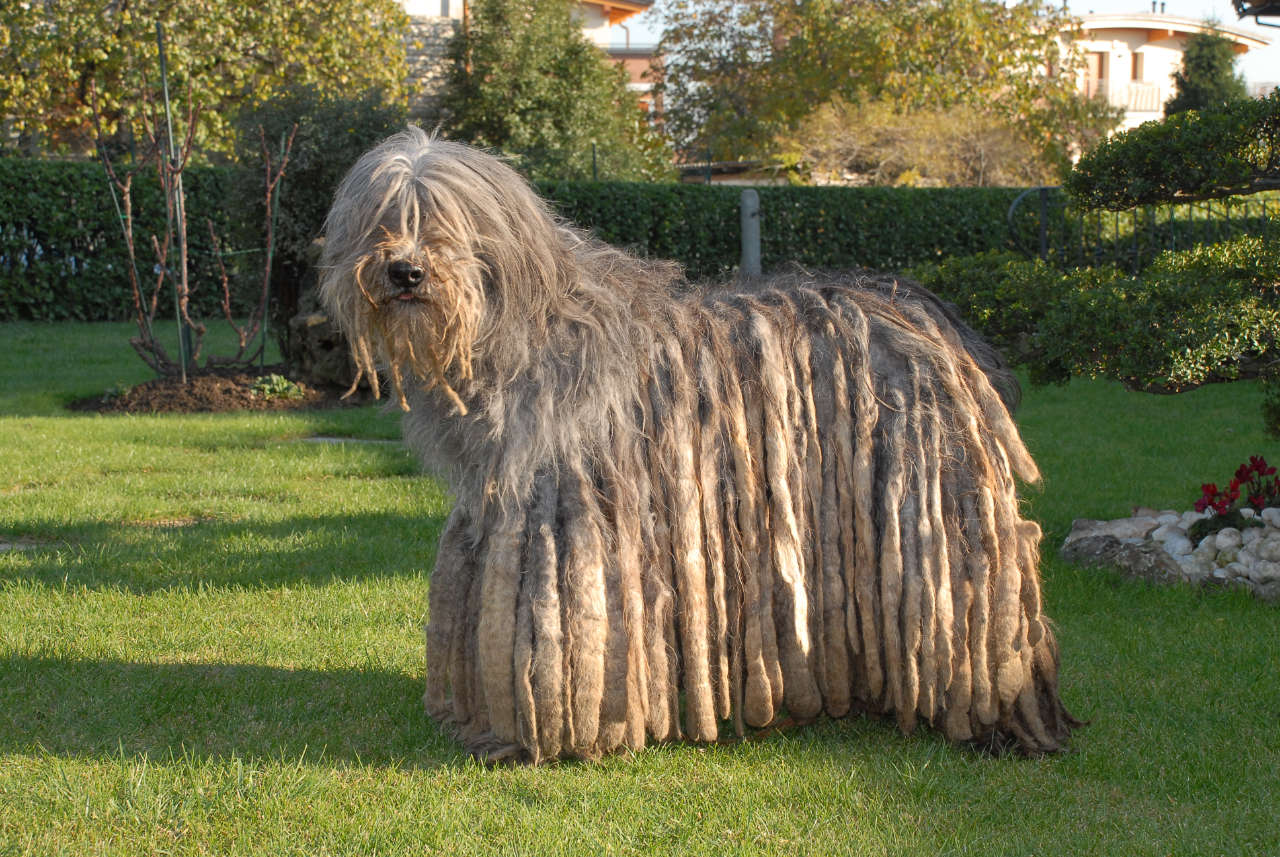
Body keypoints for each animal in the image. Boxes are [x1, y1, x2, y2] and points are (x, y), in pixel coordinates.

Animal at [317, 129, 1070, 767]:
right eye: (382, 217)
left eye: (444, 220)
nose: (405, 271)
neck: (517, 334)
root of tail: (924, 314)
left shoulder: (566, 526)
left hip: (933, 517)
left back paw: (1001, 720)